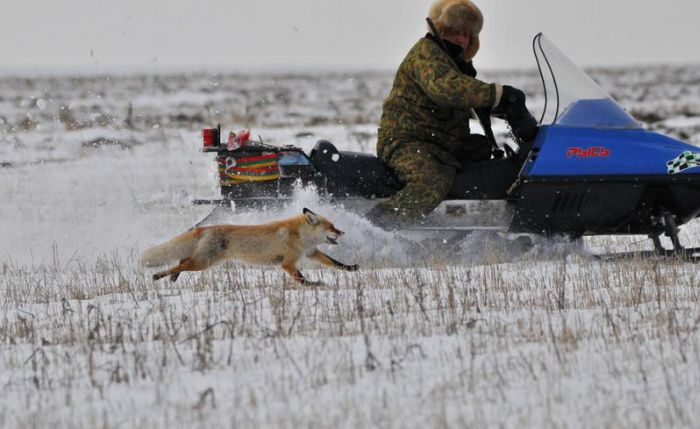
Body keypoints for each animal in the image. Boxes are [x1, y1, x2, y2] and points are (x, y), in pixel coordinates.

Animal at [142, 207, 360, 284]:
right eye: (331, 226)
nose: (343, 232)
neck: (300, 237)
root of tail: (207, 227)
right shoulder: (287, 263)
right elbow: (302, 279)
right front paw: (315, 285)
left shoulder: (311, 253)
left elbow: (336, 263)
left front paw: (352, 268)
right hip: (203, 263)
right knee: (179, 264)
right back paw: (158, 276)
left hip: (205, 261)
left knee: (182, 261)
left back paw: (172, 277)